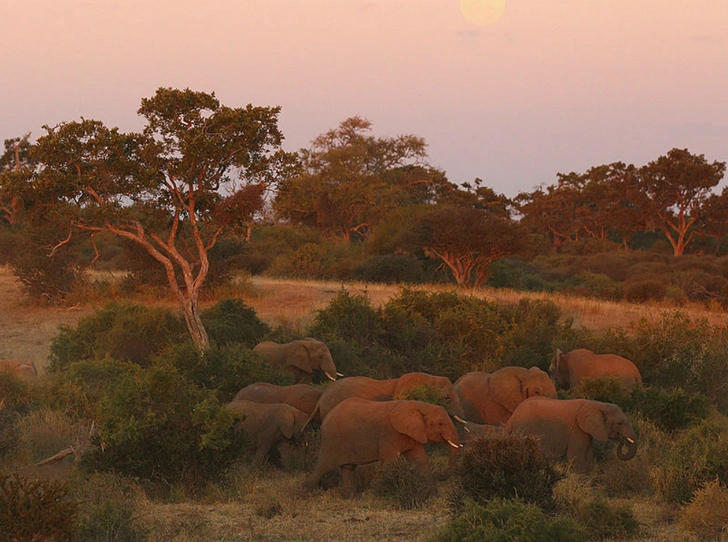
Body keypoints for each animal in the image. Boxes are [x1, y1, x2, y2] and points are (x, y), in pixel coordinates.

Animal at [302, 398, 460, 500]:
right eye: (440, 424)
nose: (441, 475)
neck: (420, 406)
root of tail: (326, 417)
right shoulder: (389, 434)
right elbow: (390, 462)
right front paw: (388, 493)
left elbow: (421, 460)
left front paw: (435, 497)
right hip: (331, 441)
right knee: (323, 467)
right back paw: (302, 495)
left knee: (347, 468)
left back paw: (351, 498)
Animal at [506, 396, 636, 476]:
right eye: (620, 423)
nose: (622, 441)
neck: (597, 405)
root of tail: (511, 420)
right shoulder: (577, 429)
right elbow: (576, 456)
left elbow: (588, 454)